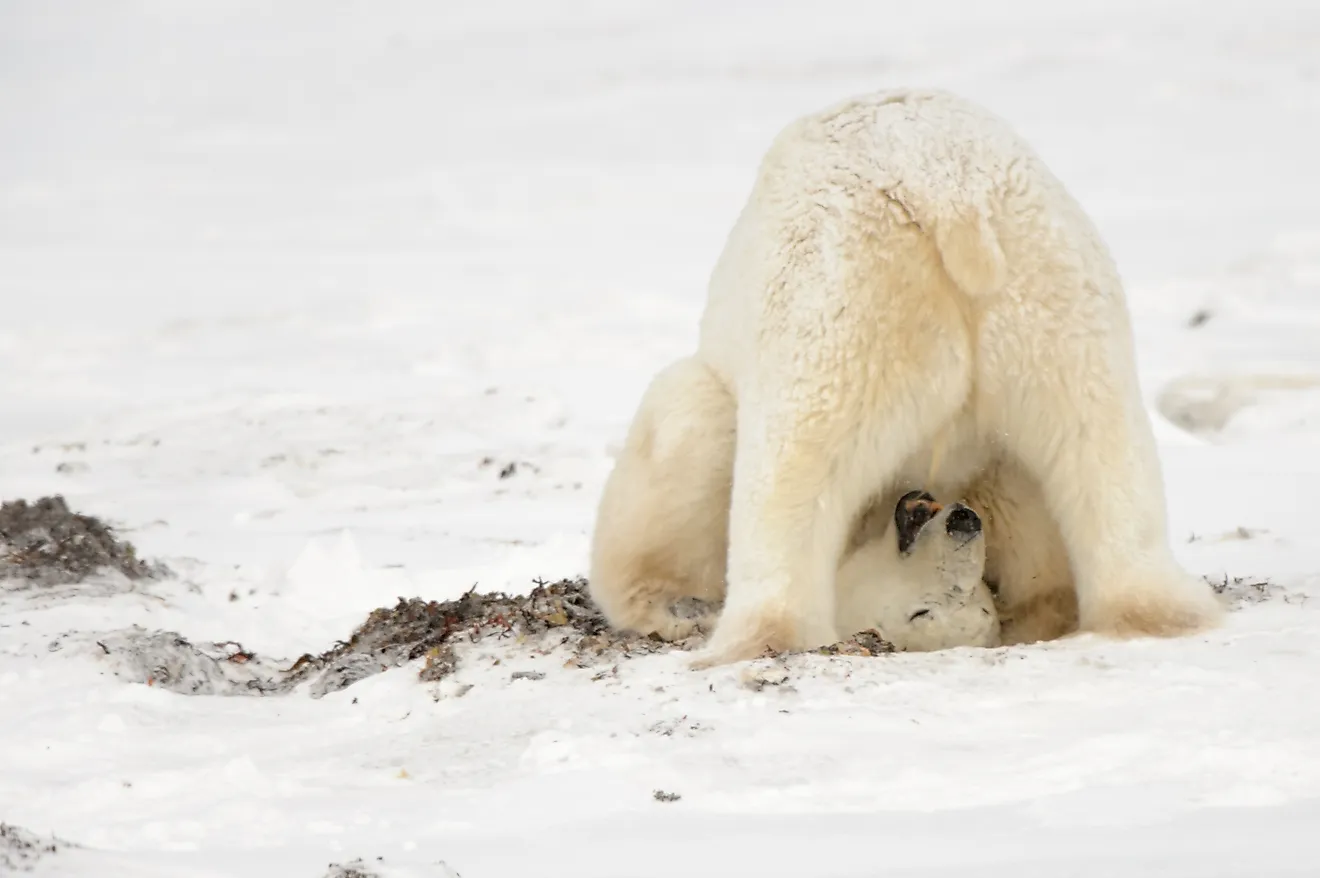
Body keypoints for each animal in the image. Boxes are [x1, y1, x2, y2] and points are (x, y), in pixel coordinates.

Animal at [591, 87, 1224, 665]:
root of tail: (947, 194)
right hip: (1057, 304)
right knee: (1100, 451)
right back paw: (1154, 607)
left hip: (845, 302)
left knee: (759, 447)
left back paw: (740, 631)